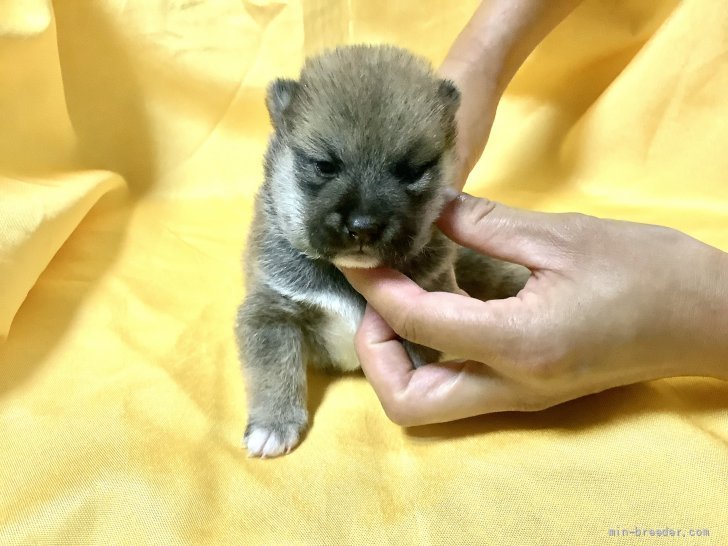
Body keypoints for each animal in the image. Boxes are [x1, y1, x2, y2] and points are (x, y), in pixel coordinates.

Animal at [239, 45, 528, 454]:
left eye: (411, 172)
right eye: (324, 166)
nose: (362, 226)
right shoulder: (271, 311)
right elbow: (275, 370)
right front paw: (273, 424)